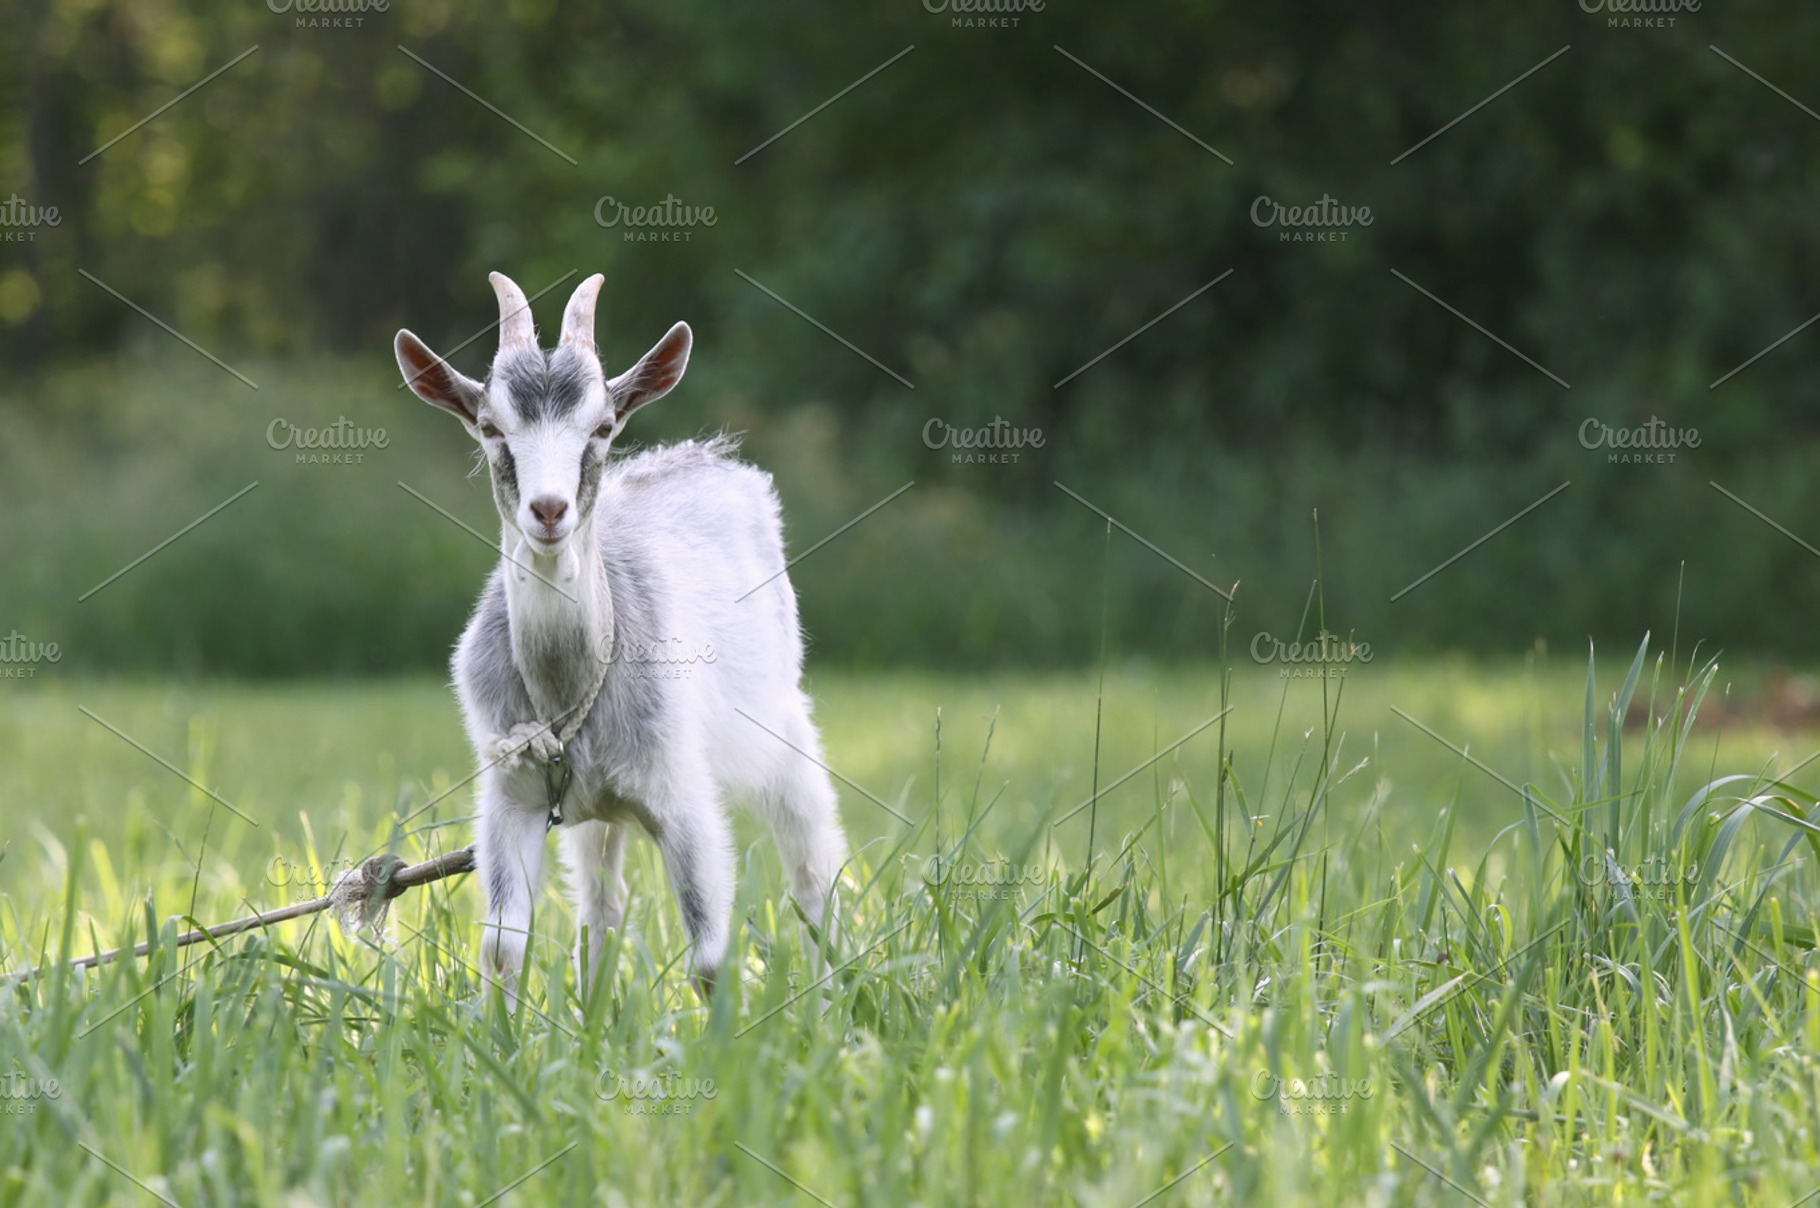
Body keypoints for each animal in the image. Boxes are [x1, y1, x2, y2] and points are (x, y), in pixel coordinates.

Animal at [394, 271, 848, 1003]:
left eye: (602, 426)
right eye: (491, 427)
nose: (549, 510)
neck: (568, 686)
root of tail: (710, 455)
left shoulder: (681, 793)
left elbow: (710, 955)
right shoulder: (513, 795)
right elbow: (502, 947)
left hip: (784, 730)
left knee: (813, 874)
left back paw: (832, 990)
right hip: (595, 815)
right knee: (601, 908)